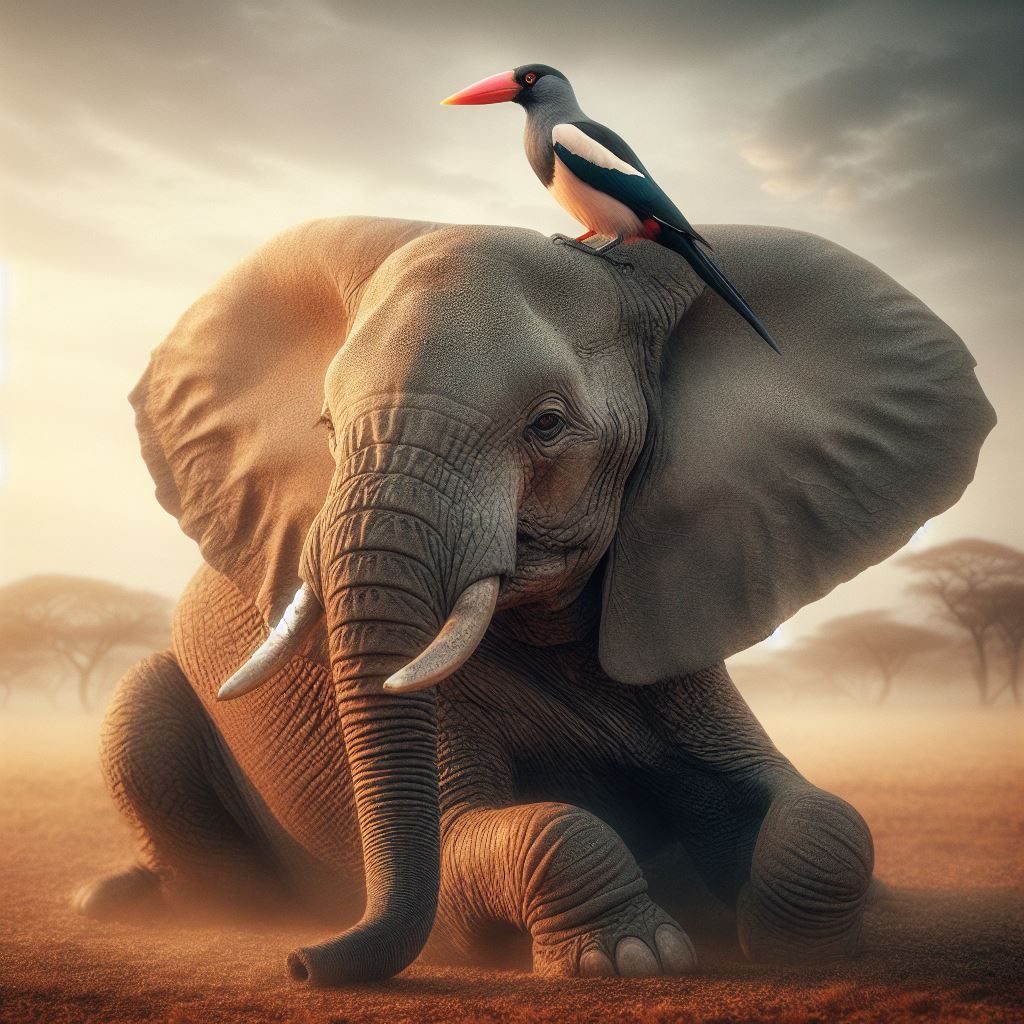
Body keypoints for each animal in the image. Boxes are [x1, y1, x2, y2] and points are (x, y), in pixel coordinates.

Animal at [74, 216, 993, 986]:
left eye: (546, 426)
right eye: (328, 429)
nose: (303, 967)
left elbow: (818, 815)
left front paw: (790, 947)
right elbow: (496, 834)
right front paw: (632, 957)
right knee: (139, 714)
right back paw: (145, 903)